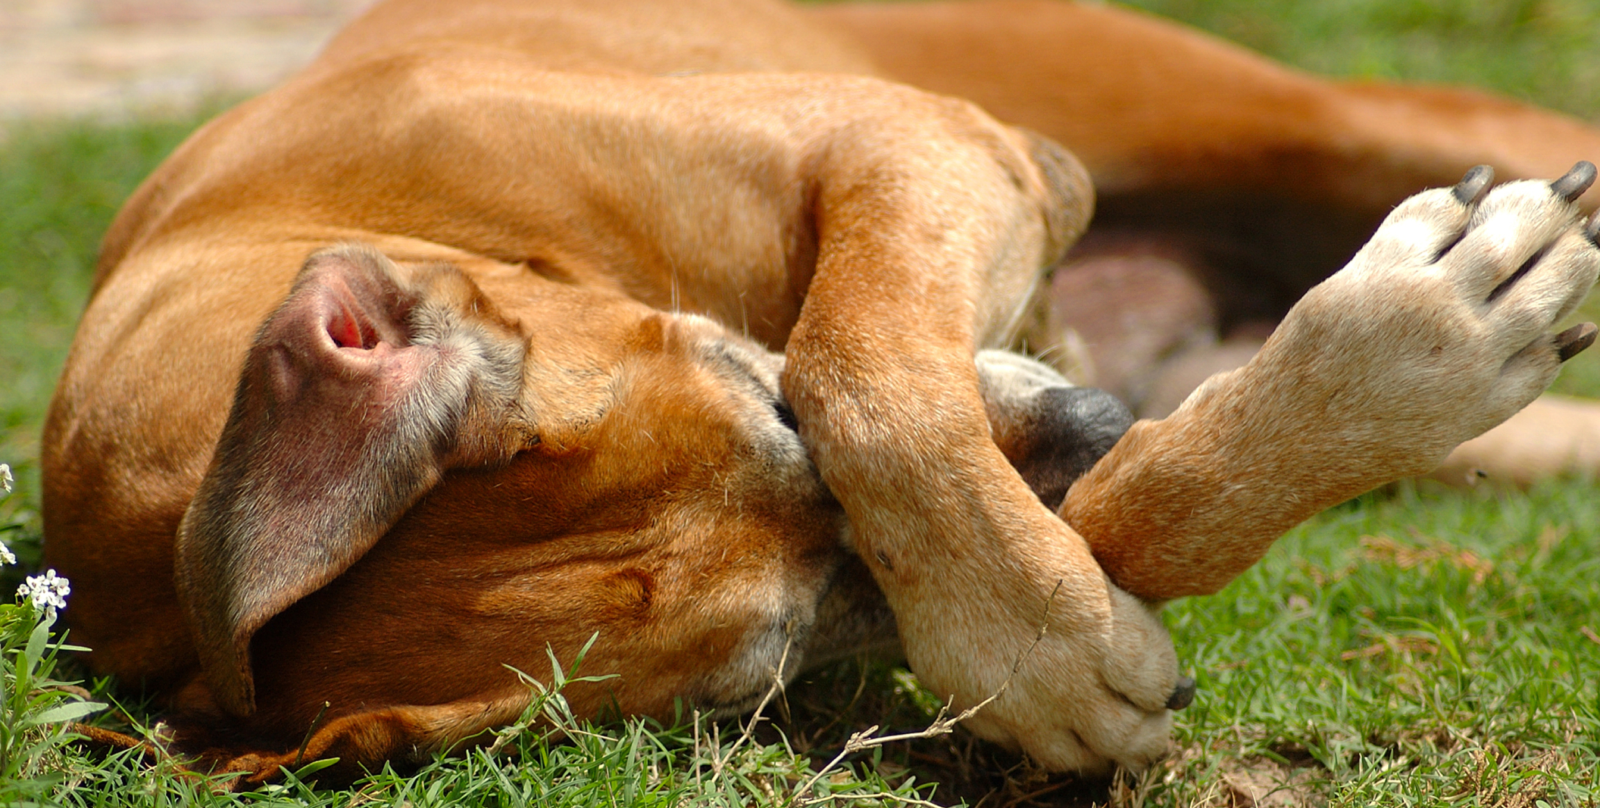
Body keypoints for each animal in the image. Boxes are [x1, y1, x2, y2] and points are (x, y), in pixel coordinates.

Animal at [34, 0, 1600, 787]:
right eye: (782, 661)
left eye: (773, 401)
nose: (1090, 430)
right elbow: (1107, 513)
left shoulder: (925, 144)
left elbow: (870, 364)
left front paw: (1041, 637)